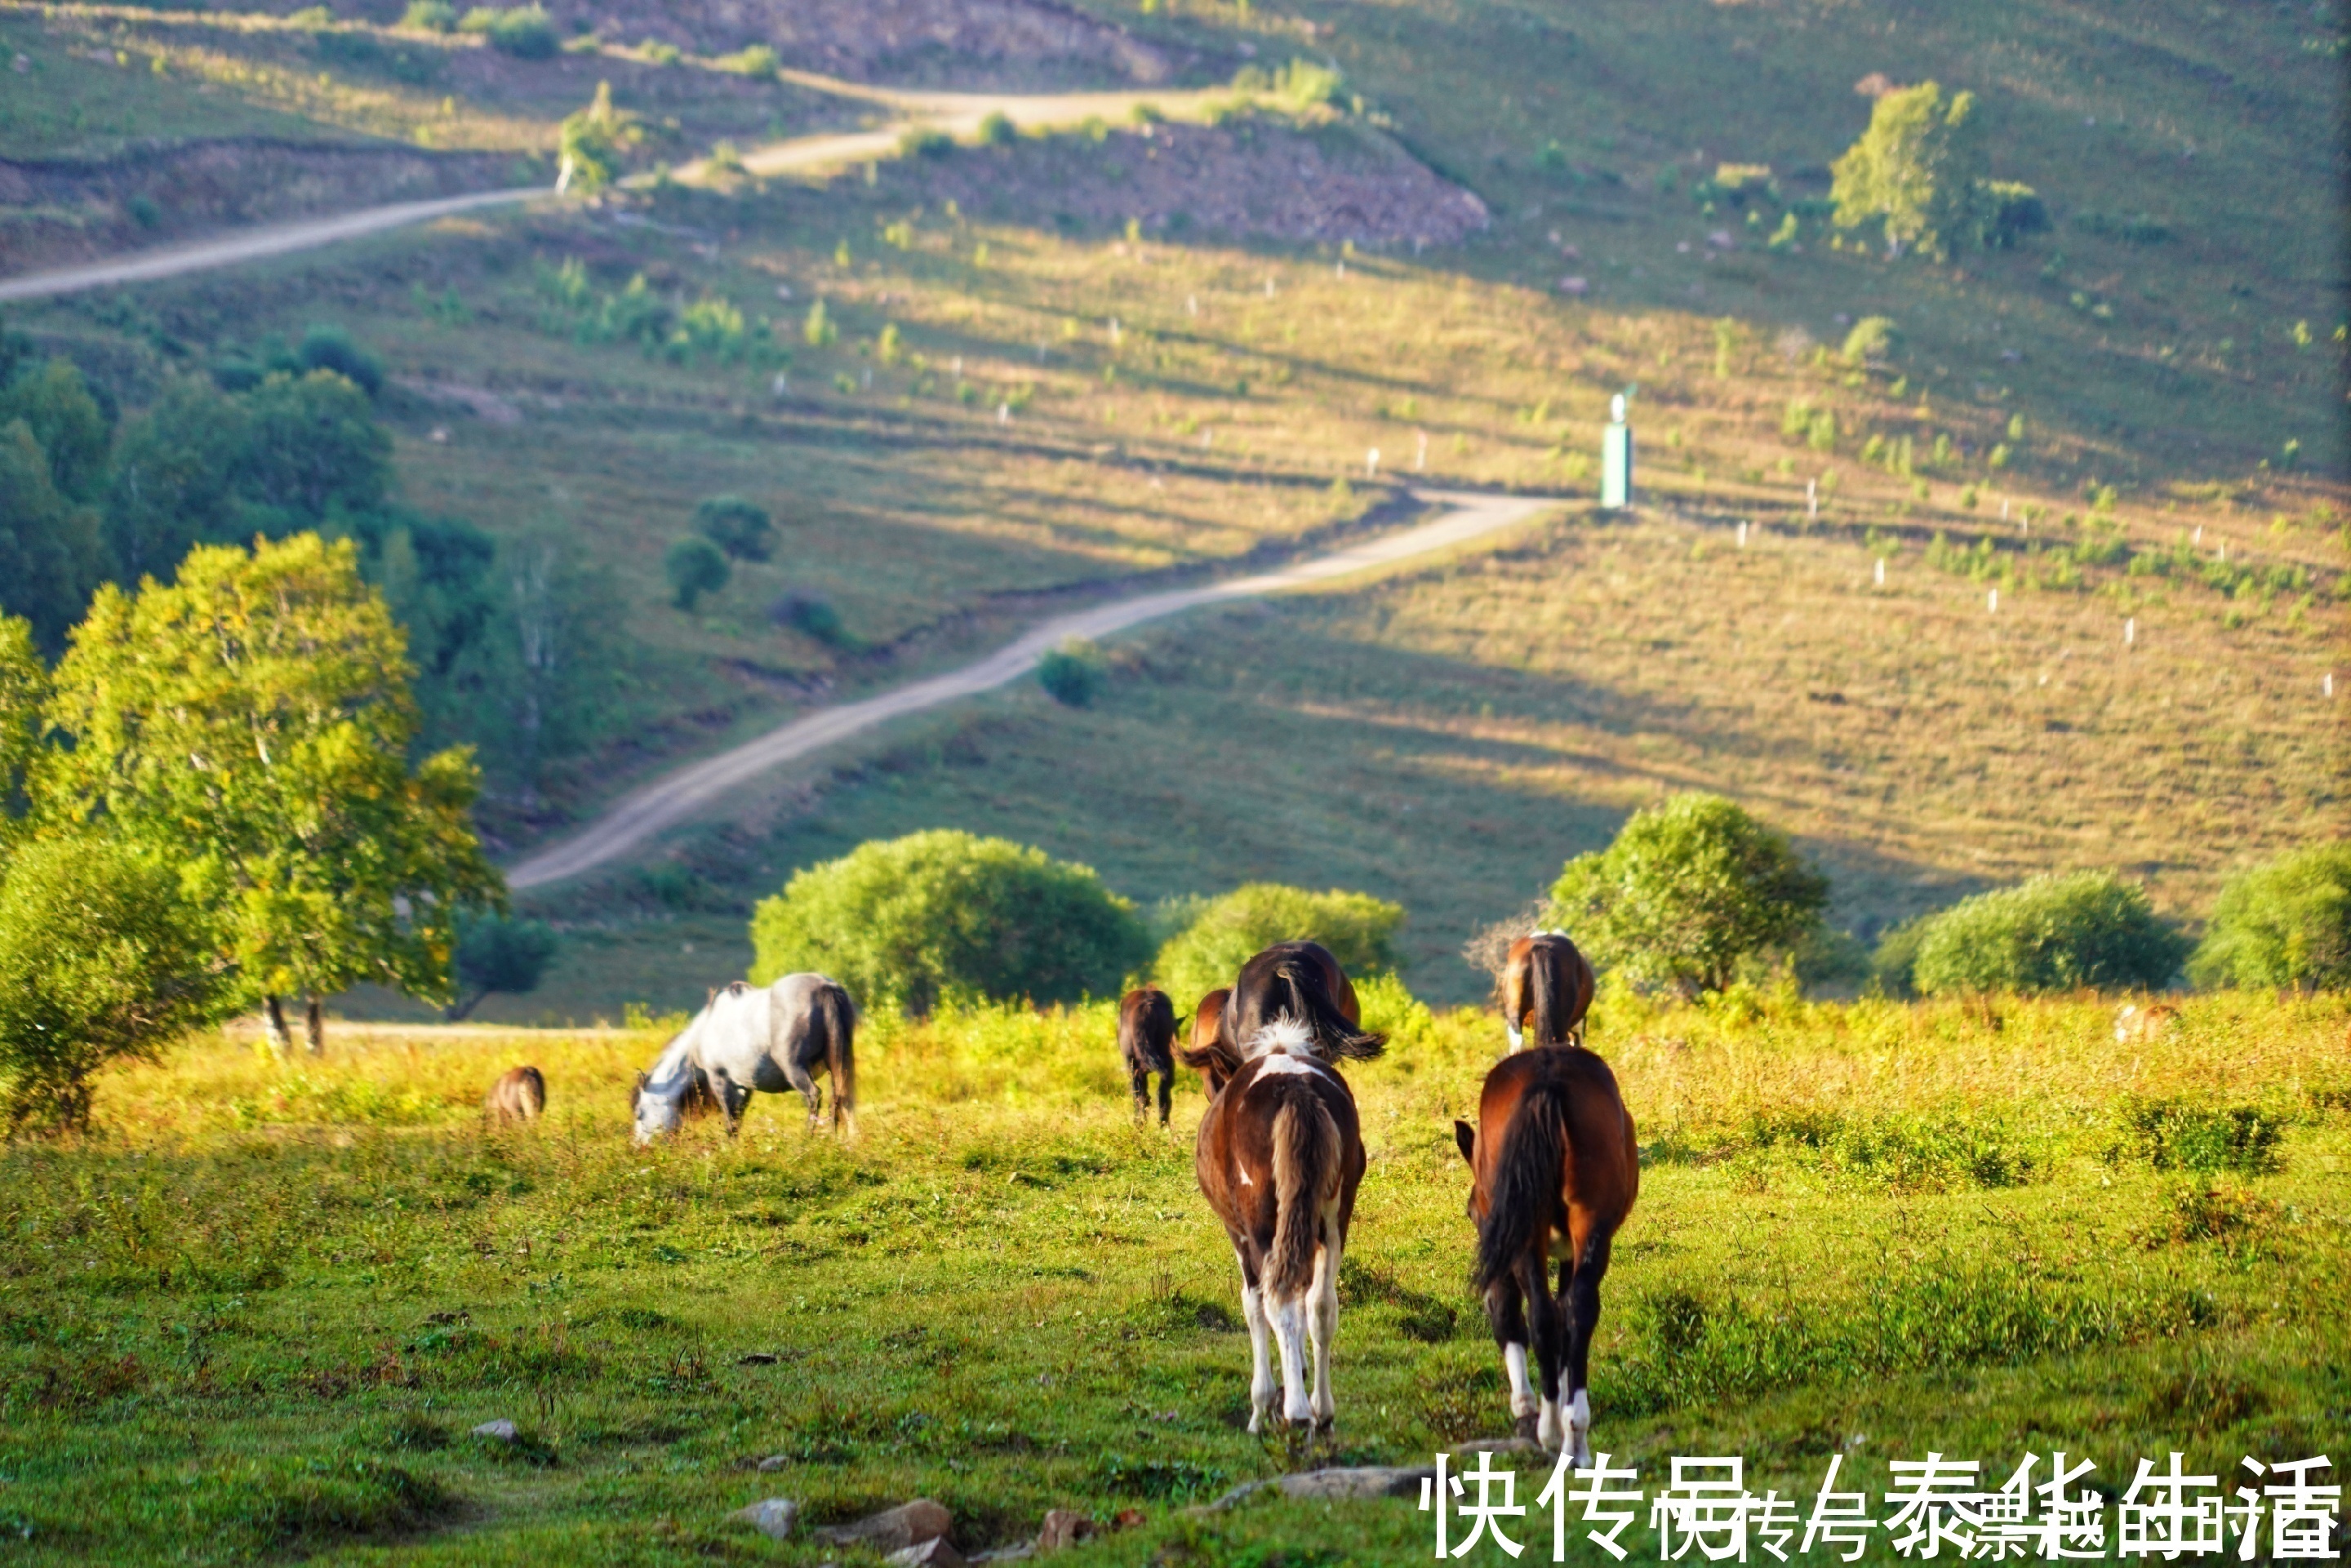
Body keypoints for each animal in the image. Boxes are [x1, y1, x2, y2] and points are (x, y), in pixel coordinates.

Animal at [629, 973, 860, 1147]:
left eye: (640, 1113)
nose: (639, 1148)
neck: (704, 1032)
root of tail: (824, 987)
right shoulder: (744, 1084)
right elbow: (738, 1115)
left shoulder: (719, 1078)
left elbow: (730, 1117)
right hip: (837, 1065)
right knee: (839, 1100)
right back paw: (836, 1139)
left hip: (794, 1068)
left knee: (814, 1096)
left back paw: (808, 1139)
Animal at [1194, 1019, 1372, 1438]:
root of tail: (1294, 1088)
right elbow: (1310, 1300)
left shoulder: (1241, 1237)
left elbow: (1254, 1306)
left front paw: (1260, 1407)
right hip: (1333, 1223)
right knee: (1321, 1304)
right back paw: (1322, 1411)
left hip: (1263, 1227)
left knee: (1279, 1301)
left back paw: (1297, 1410)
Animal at [1448, 1043, 1636, 1457]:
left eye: (1471, 1212)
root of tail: (1547, 1081)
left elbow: (1512, 1316)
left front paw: (1527, 1413)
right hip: (1589, 1222)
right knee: (1577, 1311)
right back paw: (1574, 1433)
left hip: (1529, 1236)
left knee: (1540, 1315)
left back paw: (1551, 1429)